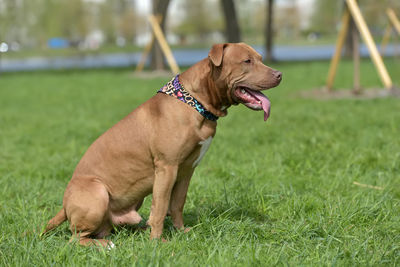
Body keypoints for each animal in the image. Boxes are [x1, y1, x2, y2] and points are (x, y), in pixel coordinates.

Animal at [43, 42, 282, 249]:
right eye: (247, 61)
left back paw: (136, 232)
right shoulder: (167, 168)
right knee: (77, 238)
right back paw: (107, 245)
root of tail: (64, 205)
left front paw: (181, 231)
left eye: (260, 59)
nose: (279, 74)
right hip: (98, 192)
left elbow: (176, 204)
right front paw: (158, 242)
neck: (196, 102)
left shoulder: (186, 170)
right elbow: (160, 207)